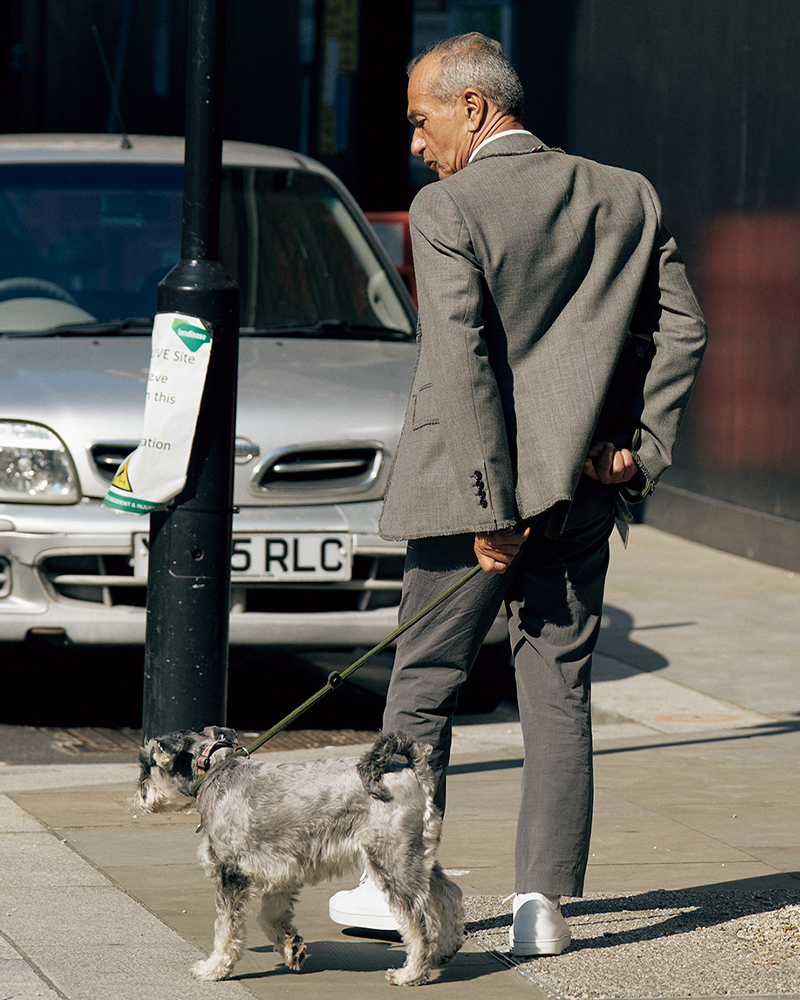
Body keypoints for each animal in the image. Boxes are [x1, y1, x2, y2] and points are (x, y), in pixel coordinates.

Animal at [136, 728, 462, 984]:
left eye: (146, 765)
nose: (139, 796)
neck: (215, 772)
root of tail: (413, 772)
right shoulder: (281, 871)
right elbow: (269, 917)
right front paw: (291, 948)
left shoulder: (231, 874)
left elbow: (226, 928)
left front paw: (213, 969)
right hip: (415, 856)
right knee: (448, 893)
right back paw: (444, 948)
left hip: (391, 860)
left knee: (419, 921)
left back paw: (411, 973)